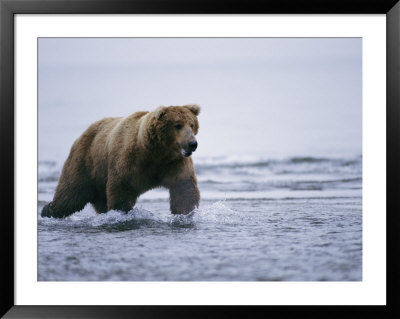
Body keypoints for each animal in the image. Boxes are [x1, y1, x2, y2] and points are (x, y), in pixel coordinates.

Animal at [40, 104, 200, 218]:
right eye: (178, 125)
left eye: (192, 124)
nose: (192, 143)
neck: (154, 152)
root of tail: (82, 134)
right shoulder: (130, 161)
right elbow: (121, 189)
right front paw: (121, 212)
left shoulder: (173, 163)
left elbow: (184, 188)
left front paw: (186, 212)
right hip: (86, 161)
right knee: (70, 193)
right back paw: (48, 210)